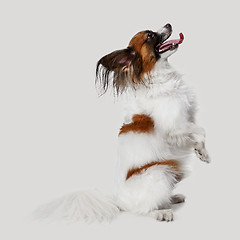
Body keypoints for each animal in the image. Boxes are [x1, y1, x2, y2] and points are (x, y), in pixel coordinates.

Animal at [35, 23, 210, 223]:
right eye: (150, 36)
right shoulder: (176, 128)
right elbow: (201, 131)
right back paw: (161, 212)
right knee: (141, 209)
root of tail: (117, 201)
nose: (168, 24)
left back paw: (172, 198)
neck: (157, 76)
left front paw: (201, 151)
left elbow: (199, 132)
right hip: (160, 172)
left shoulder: (188, 119)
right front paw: (203, 154)